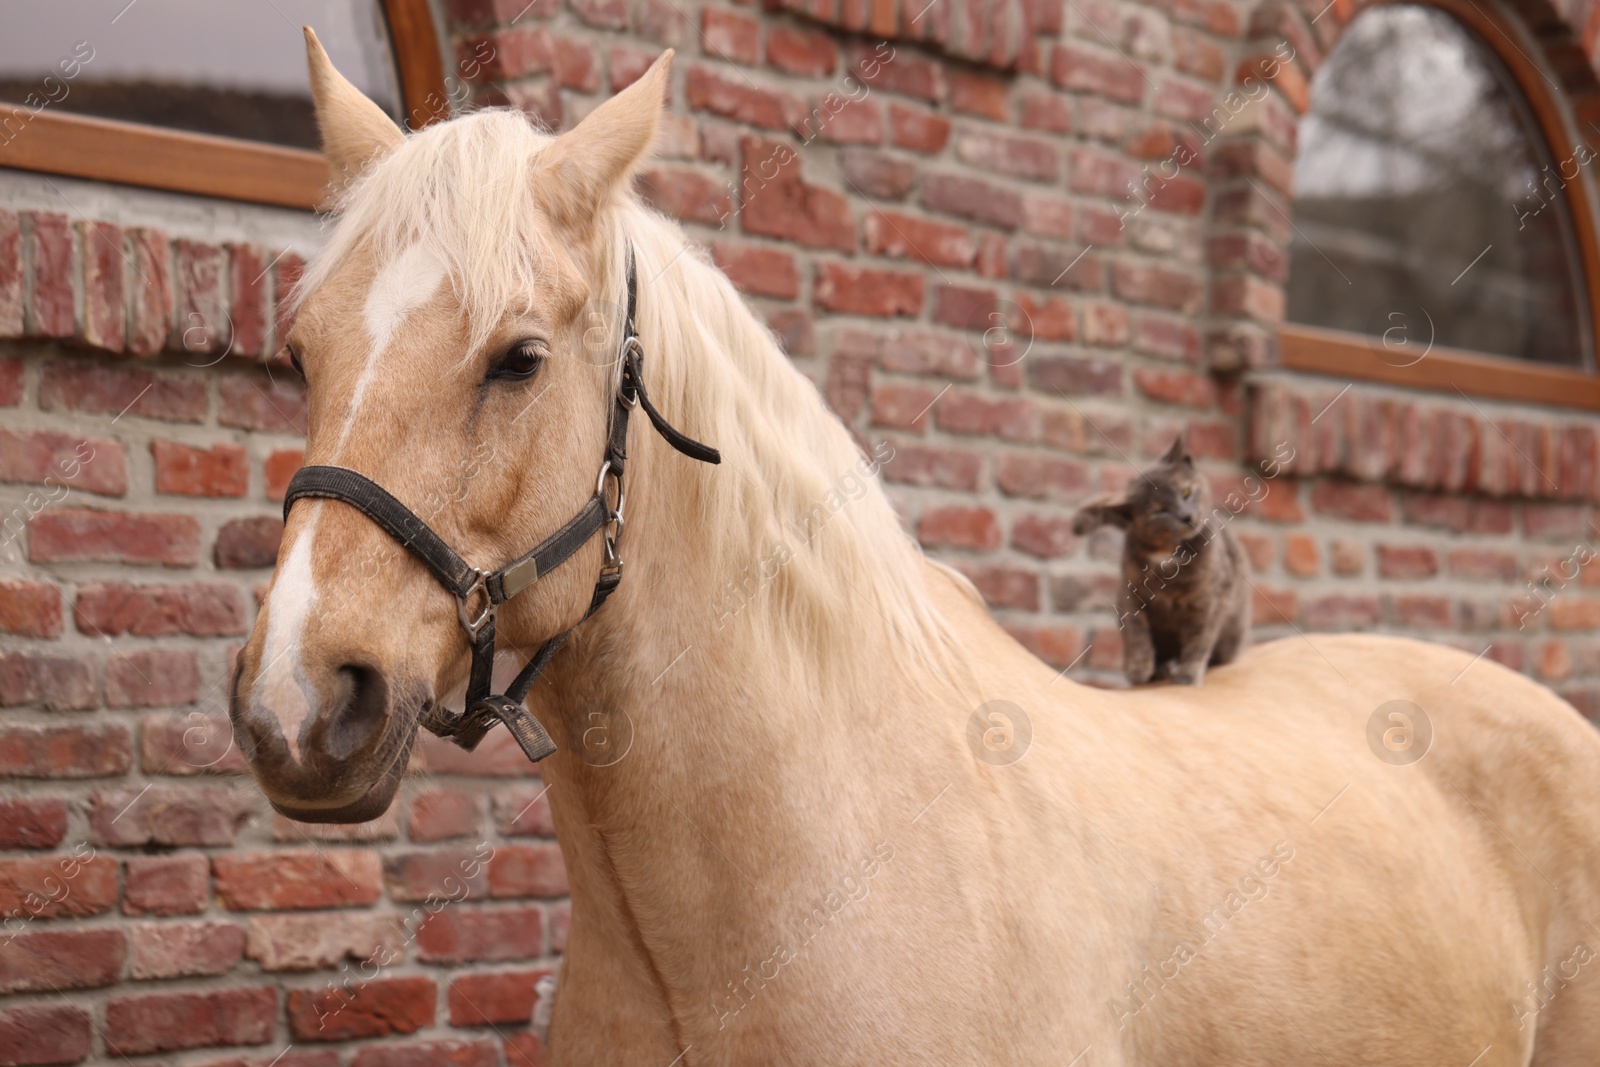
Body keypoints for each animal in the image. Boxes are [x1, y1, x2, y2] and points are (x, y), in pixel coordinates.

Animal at [1075, 438, 1248, 687]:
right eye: (1161, 510)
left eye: (1186, 492)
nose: (1186, 516)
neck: (1167, 555)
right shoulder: (1131, 595)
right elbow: (1137, 634)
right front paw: (1140, 668)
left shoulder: (1209, 600)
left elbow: (1200, 639)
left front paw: (1188, 674)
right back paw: (1158, 669)